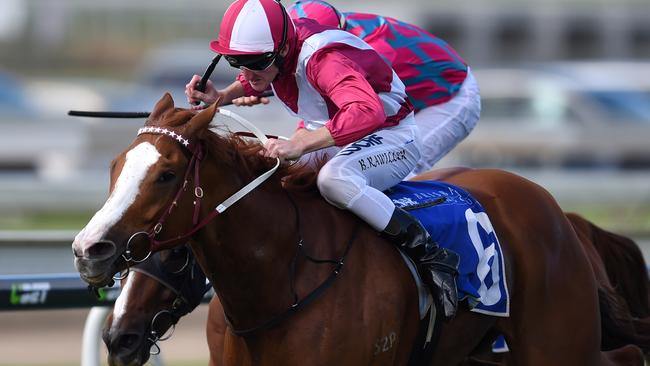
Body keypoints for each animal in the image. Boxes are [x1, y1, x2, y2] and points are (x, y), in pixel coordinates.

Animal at [72, 95, 644, 366]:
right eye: (115, 167)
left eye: (166, 175)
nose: (87, 250)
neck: (286, 280)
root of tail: (560, 214)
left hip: (556, 342)